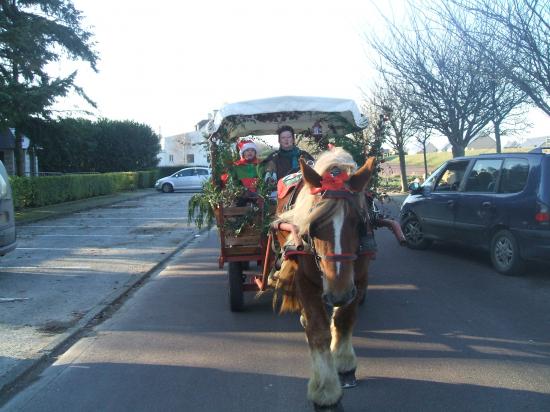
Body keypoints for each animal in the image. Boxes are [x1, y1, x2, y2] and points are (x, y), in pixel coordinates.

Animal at [274, 149, 378, 412]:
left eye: (359, 223)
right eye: (313, 226)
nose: (337, 293)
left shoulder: (358, 279)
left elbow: (344, 320)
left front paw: (345, 364)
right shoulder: (304, 278)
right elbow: (318, 330)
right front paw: (325, 390)